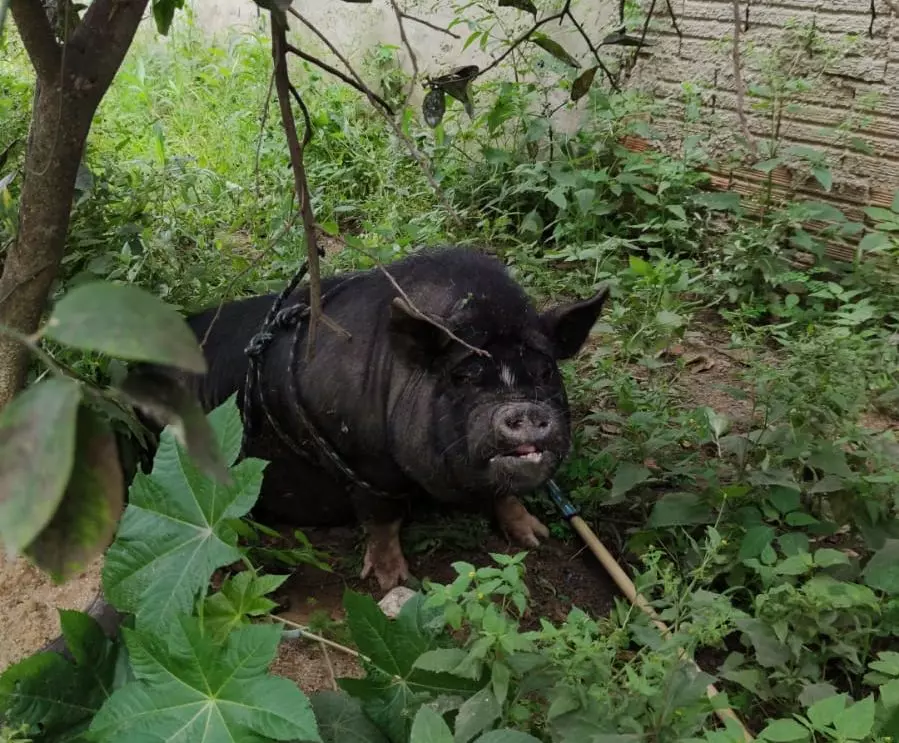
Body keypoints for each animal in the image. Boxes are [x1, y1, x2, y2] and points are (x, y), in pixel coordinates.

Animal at [163, 250, 612, 592]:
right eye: (462, 376)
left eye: (545, 371)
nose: (524, 411)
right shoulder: (363, 462)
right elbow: (383, 518)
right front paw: (393, 583)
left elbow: (504, 495)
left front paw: (536, 538)